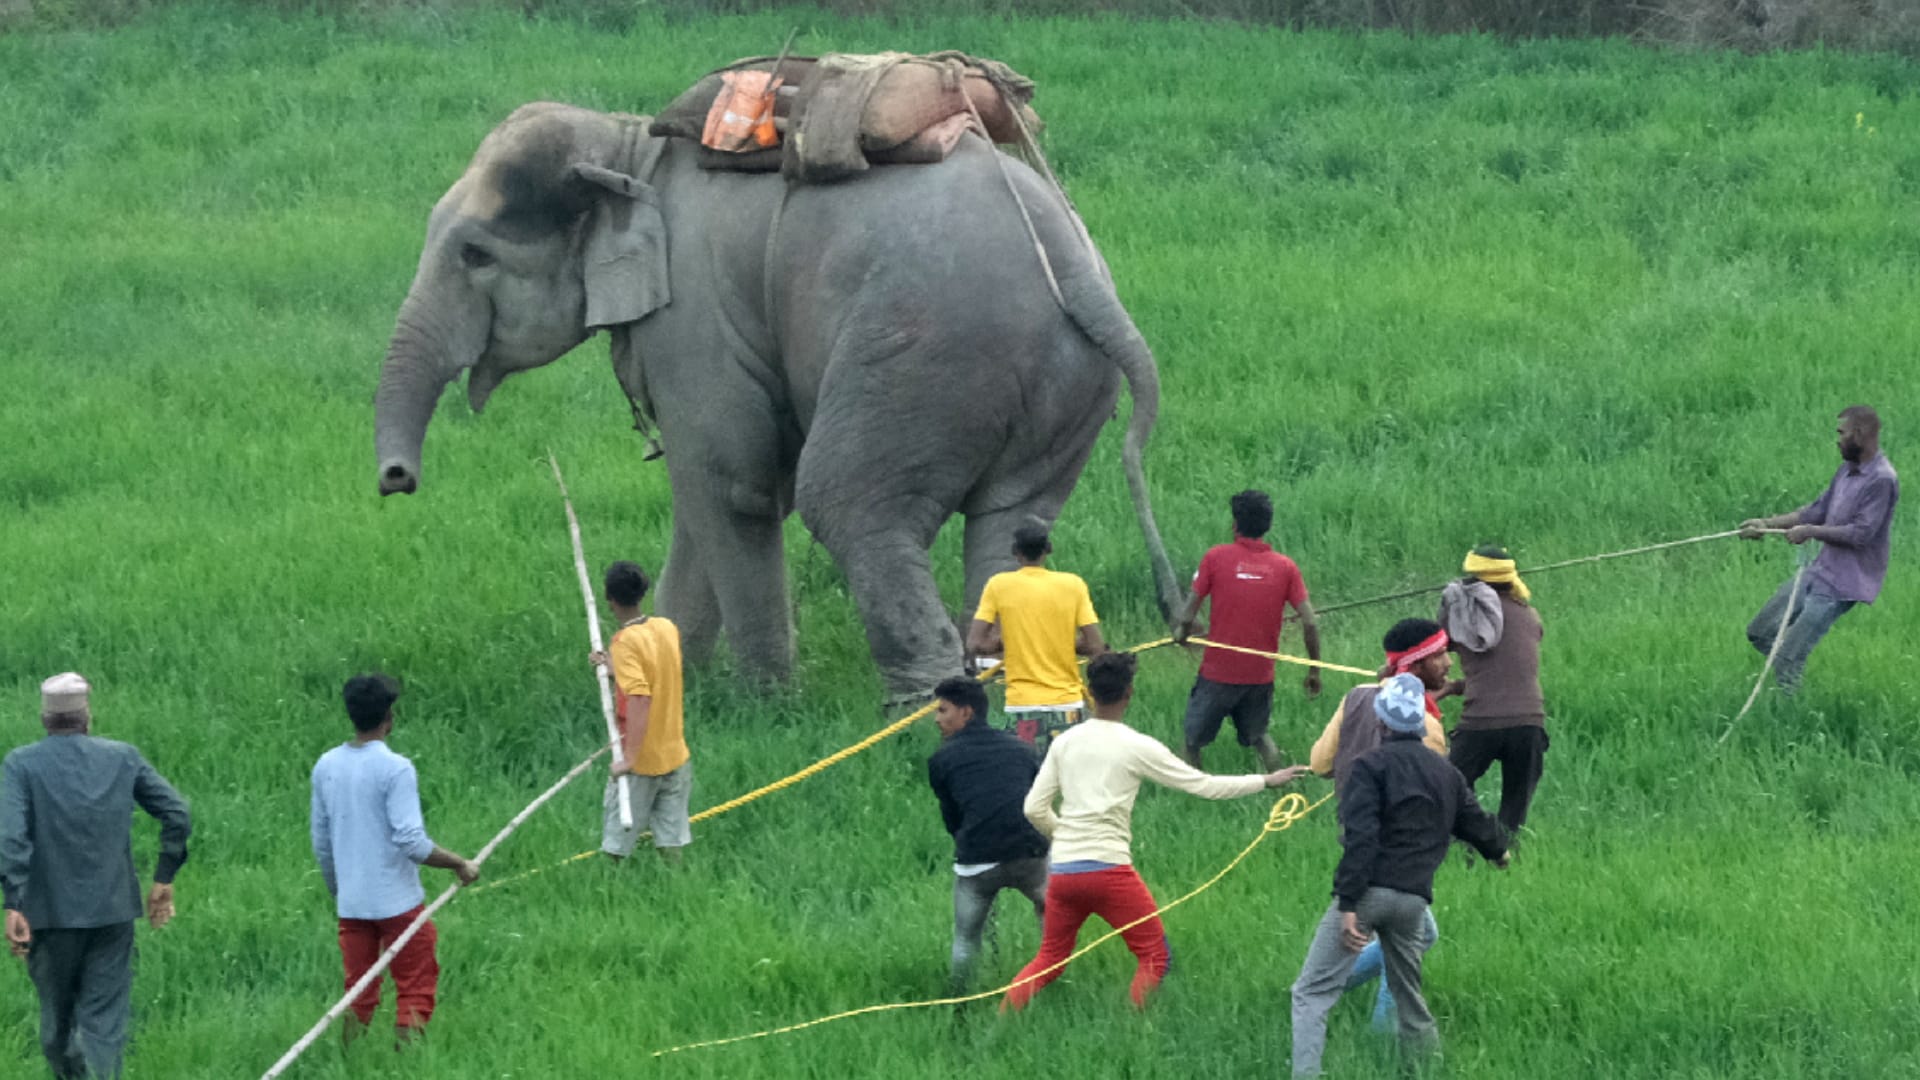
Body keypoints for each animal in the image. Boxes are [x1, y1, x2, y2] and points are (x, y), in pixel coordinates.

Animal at [373, 101, 1182, 701]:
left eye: (474, 254)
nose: (396, 480)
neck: (626, 143)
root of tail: (1077, 273)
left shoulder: (694, 313)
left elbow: (735, 485)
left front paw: (761, 702)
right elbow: (708, 491)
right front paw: (672, 683)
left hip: (926, 357)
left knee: (850, 505)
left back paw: (921, 710)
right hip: (1058, 391)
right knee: (1014, 525)